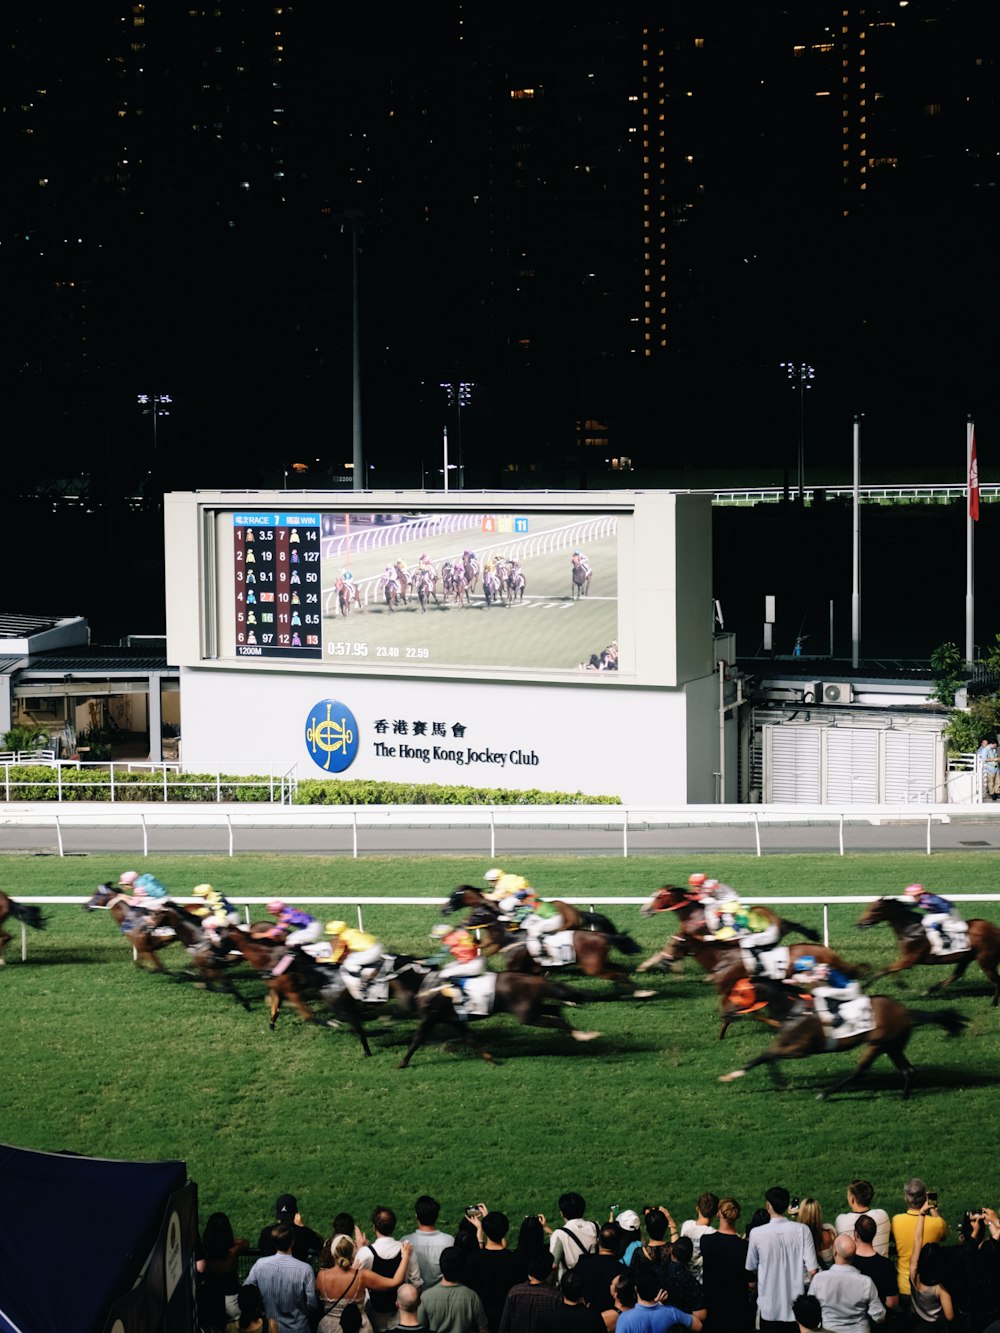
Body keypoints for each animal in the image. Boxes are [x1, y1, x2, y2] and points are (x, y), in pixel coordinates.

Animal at [222, 927, 373, 1050]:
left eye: (223, 939)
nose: (224, 959)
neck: (267, 958)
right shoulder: (276, 989)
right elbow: (274, 1011)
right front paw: (271, 1027)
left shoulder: (292, 991)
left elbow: (308, 1015)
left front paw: (332, 1023)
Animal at [394, 965, 600, 1066]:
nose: (405, 1002)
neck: (426, 984)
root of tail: (535, 979)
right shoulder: (453, 1020)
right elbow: (471, 1039)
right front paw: (490, 1058)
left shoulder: (430, 1018)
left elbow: (416, 1040)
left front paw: (402, 1063)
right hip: (531, 1007)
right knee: (555, 1011)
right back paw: (579, 1033)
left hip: (526, 1013)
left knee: (555, 1019)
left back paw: (583, 1035)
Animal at [720, 975, 970, 1098]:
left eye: (739, 993)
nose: (725, 1012)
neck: (794, 1010)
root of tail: (904, 1010)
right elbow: (766, 1056)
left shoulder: (800, 1049)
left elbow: (766, 1055)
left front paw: (733, 1075)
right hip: (892, 1046)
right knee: (908, 1070)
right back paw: (904, 1096)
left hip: (876, 1044)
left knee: (860, 1072)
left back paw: (826, 1093)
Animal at [858, 890, 1000, 1002]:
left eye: (874, 909)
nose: (859, 923)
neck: (910, 929)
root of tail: (995, 929)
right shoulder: (905, 959)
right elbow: (890, 970)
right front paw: (901, 984)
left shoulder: (909, 959)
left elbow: (884, 970)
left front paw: (864, 987)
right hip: (966, 957)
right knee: (957, 974)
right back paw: (929, 990)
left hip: (986, 961)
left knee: (996, 980)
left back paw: (994, 1003)